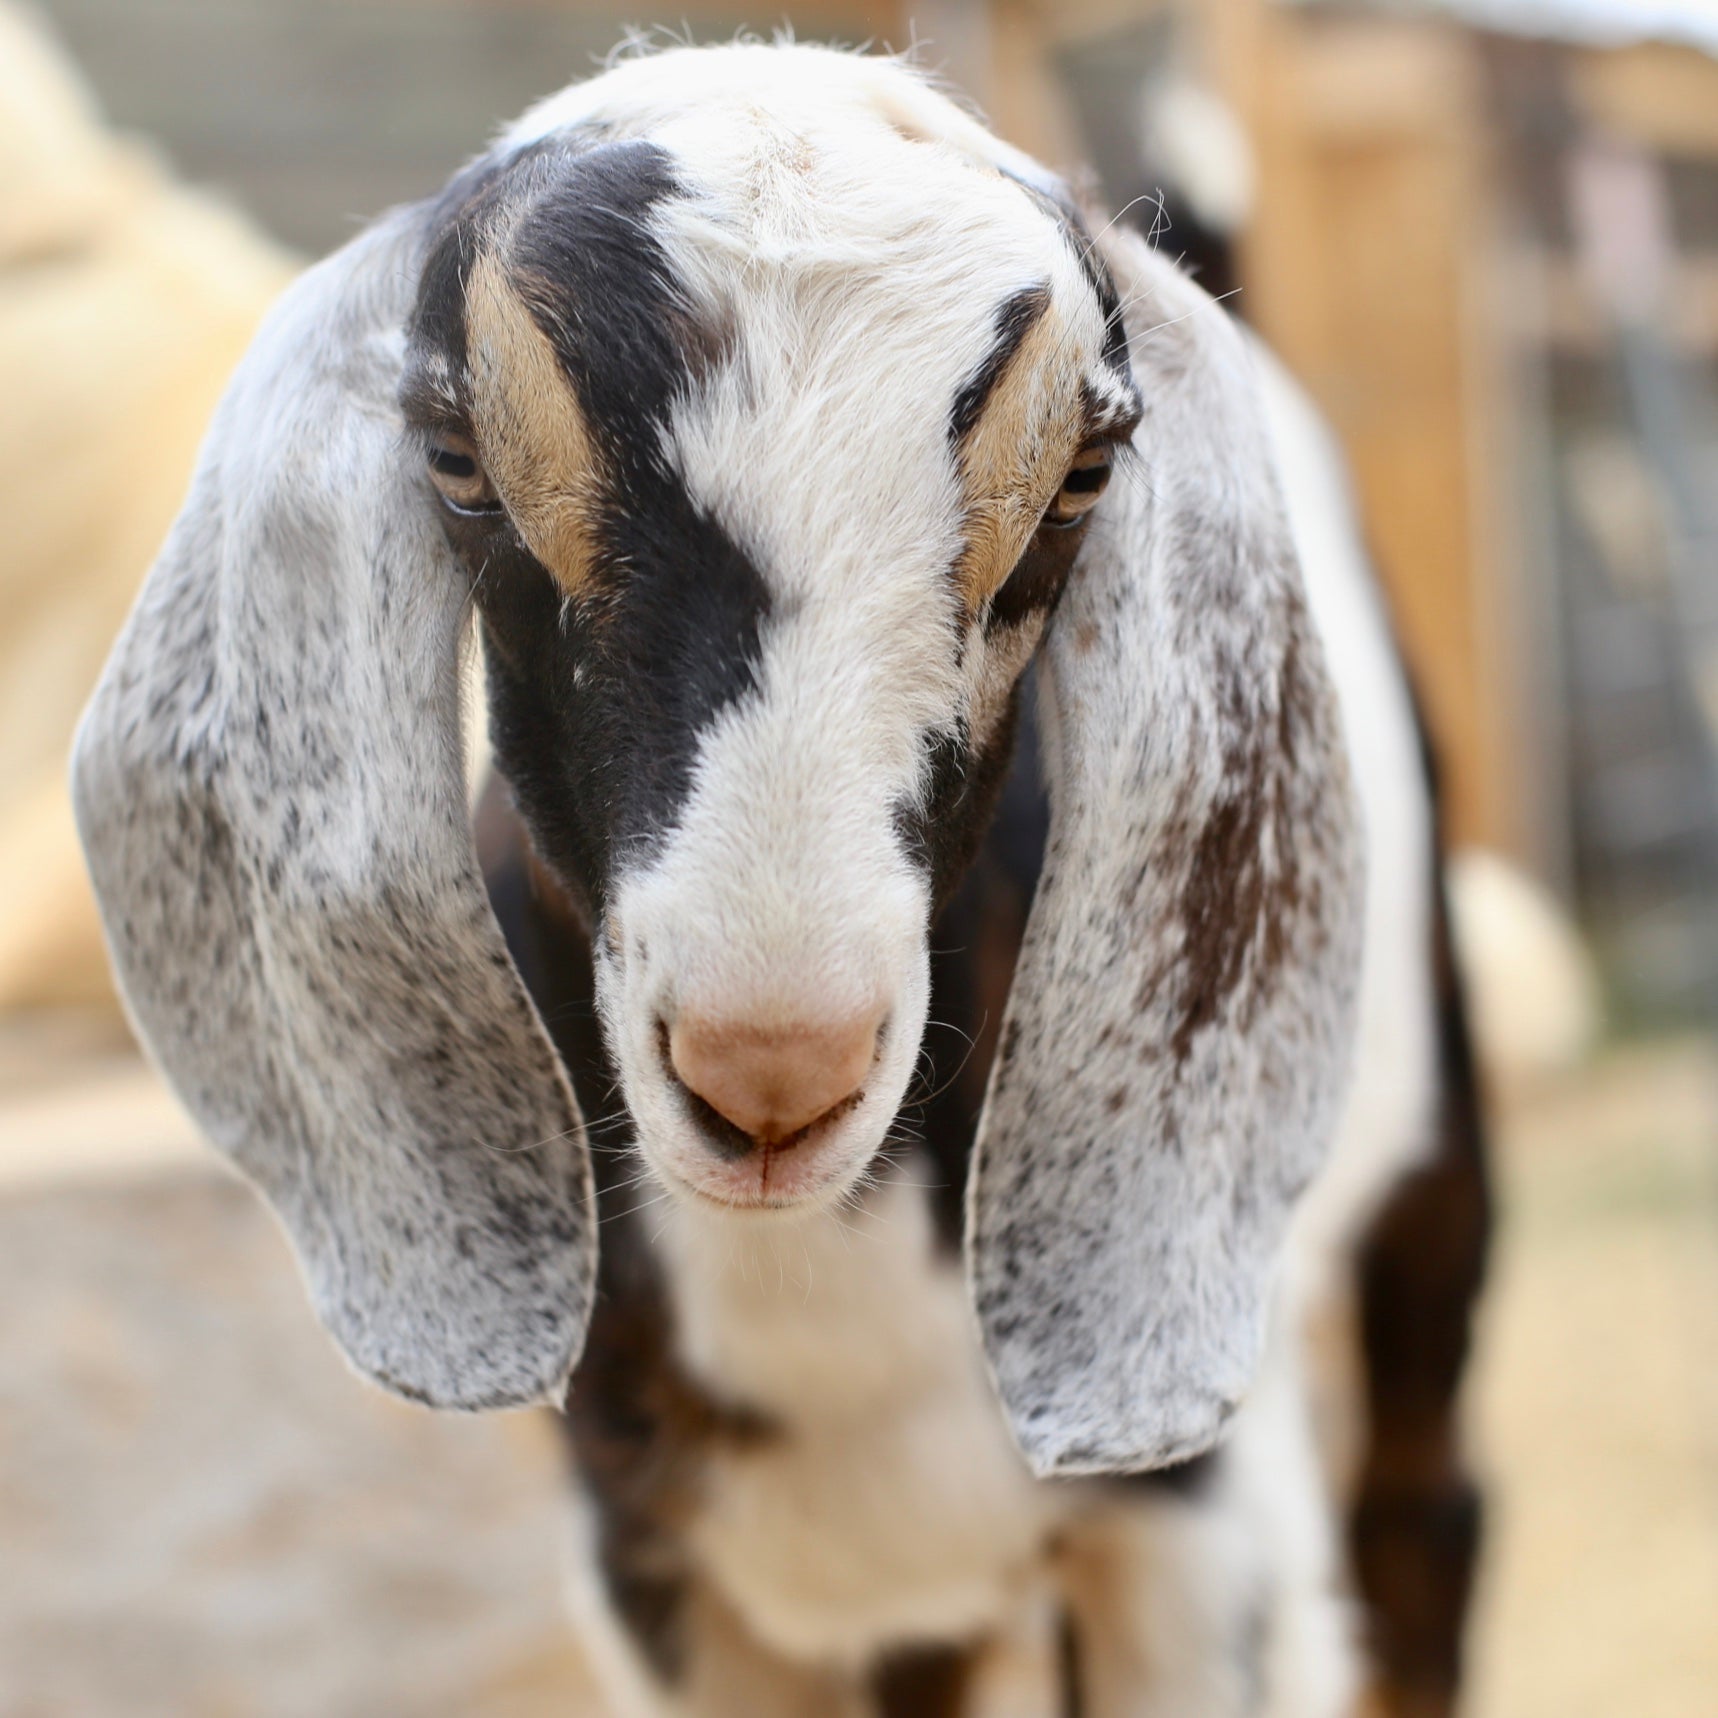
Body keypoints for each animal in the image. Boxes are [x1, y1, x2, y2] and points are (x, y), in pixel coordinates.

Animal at [73, 42, 1489, 1717]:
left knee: (1425, 1506)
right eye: (457, 462)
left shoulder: (1197, 1518)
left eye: (1083, 476)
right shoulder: (650, 1560)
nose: (770, 1067)